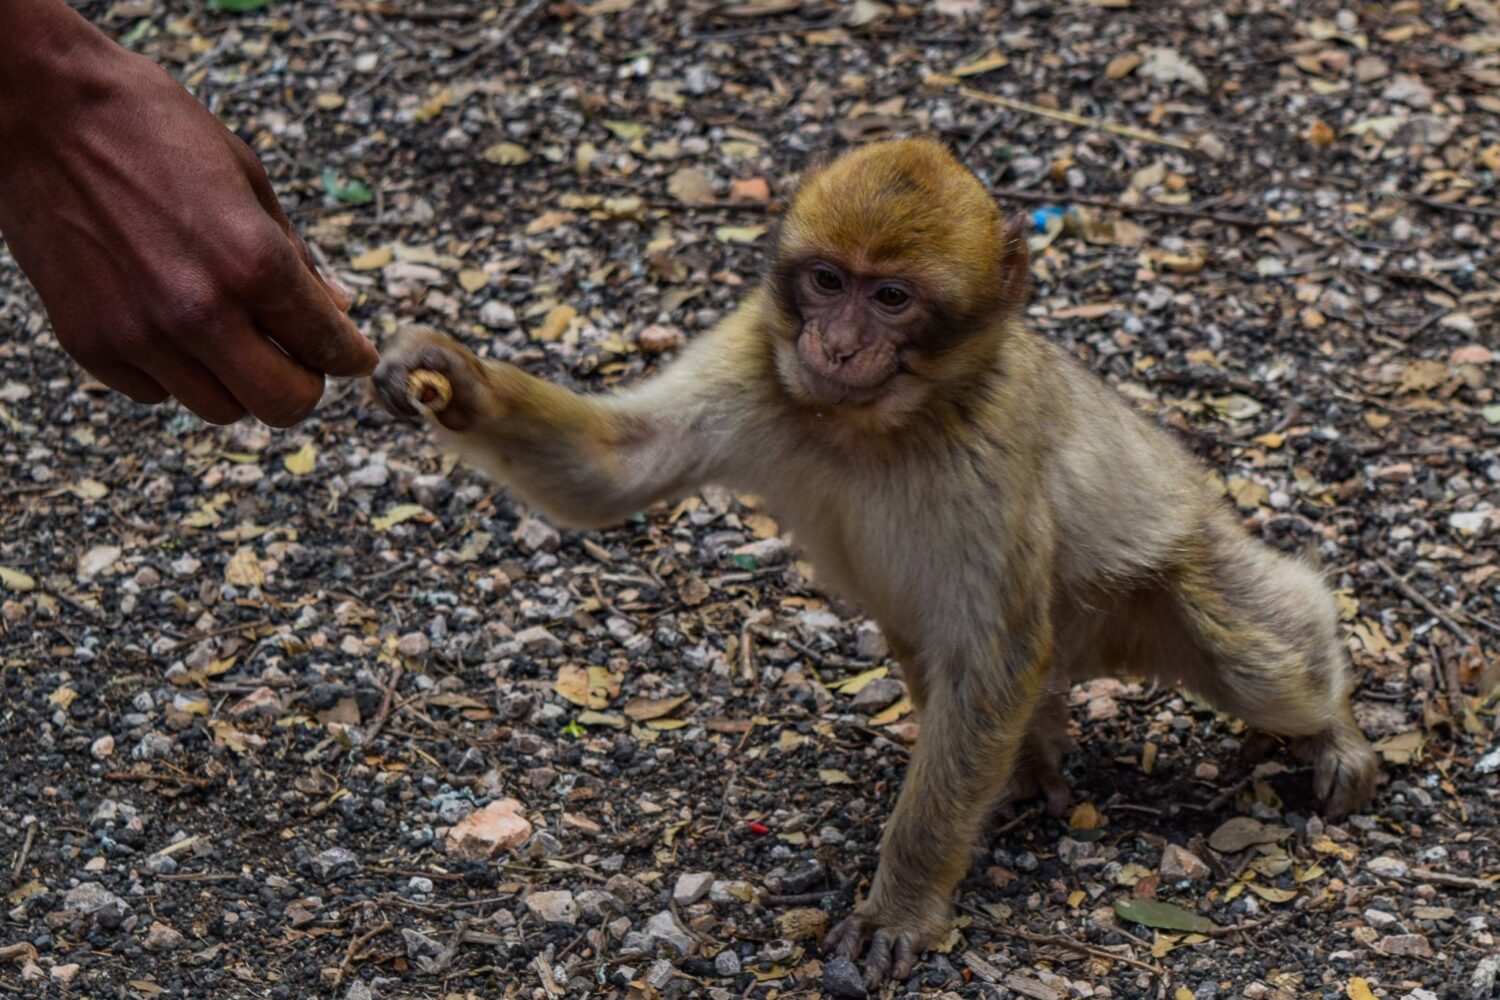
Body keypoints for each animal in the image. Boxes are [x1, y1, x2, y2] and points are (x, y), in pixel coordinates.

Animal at [369, 138, 1374, 983]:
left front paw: (903, 904)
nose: (839, 342)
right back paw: (1030, 763)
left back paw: (1331, 724)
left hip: (1171, 574)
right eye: (826, 281)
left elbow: (994, 656)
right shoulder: (755, 350)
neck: (870, 423)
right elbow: (613, 468)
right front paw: (450, 377)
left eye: (891, 298)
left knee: (1252, 653)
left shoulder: (991, 444)